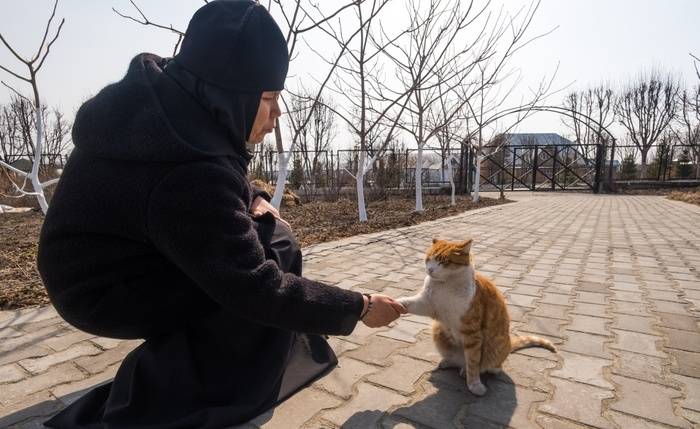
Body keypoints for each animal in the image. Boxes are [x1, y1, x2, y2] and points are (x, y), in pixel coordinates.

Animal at [396, 237, 556, 394]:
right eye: (428, 259)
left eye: (443, 262)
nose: (430, 269)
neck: (444, 286)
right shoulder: (427, 304)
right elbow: (407, 302)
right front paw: (395, 303)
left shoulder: (471, 333)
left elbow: (473, 362)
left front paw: (474, 385)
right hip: (438, 331)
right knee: (456, 359)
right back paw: (449, 362)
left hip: (494, 350)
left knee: (487, 366)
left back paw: (466, 370)